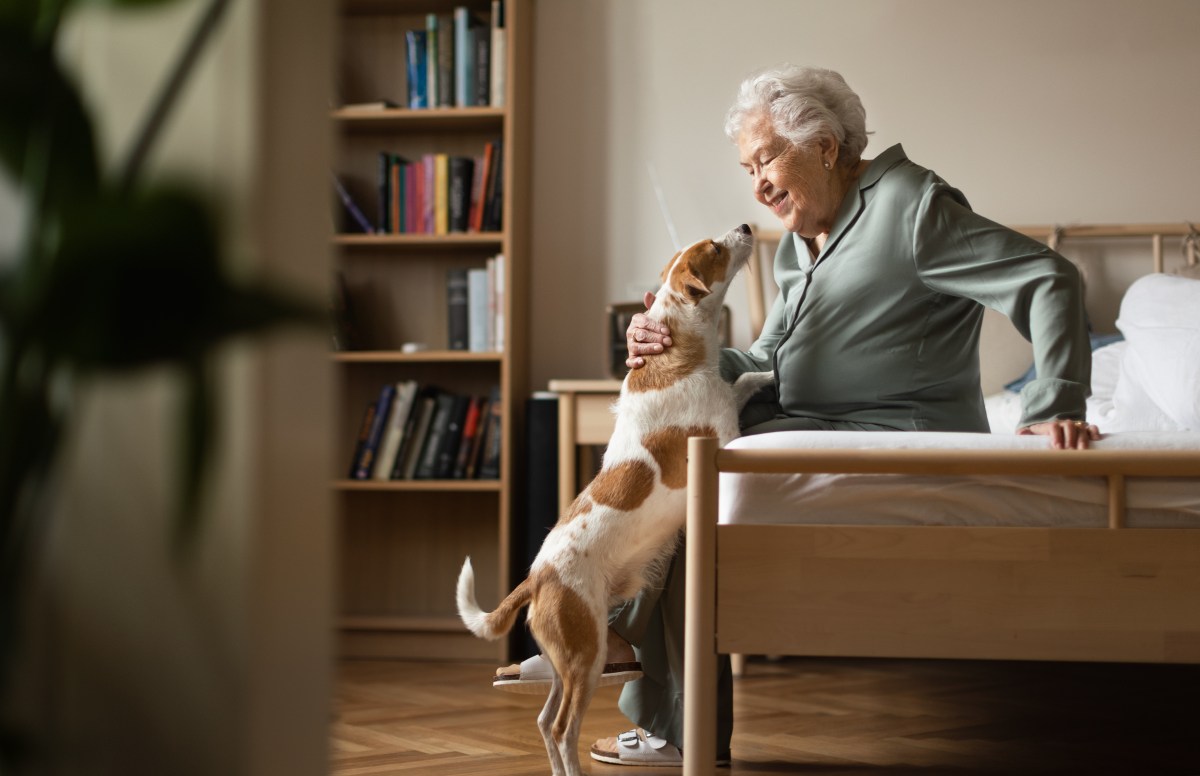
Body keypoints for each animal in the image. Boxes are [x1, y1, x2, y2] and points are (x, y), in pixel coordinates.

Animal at [453, 223, 772, 776]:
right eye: (714, 247)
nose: (748, 226)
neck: (676, 350)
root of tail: (536, 577)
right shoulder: (723, 439)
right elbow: (737, 403)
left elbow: (742, 381)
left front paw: (762, 374)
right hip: (586, 657)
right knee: (562, 728)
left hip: (567, 661)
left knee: (544, 723)